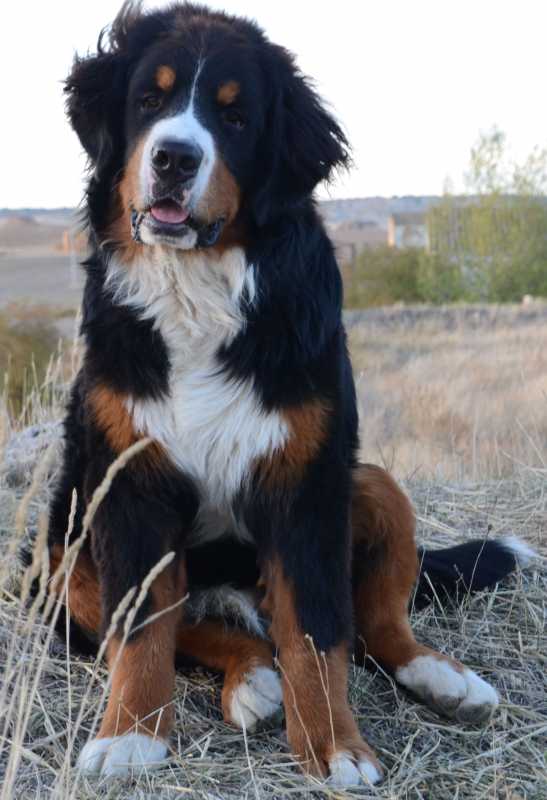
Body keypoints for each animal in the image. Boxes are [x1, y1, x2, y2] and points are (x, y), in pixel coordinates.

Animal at [45, 0, 536, 788]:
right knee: (195, 625)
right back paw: (251, 680)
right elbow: (145, 626)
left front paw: (334, 745)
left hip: (370, 483)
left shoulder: (304, 483)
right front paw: (132, 734)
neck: (200, 291)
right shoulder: (128, 484)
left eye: (235, 117)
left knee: (375, 624)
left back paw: (444, 678)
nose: (174, 159)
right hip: (67, 545)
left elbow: (315, 631)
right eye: (148, 101)